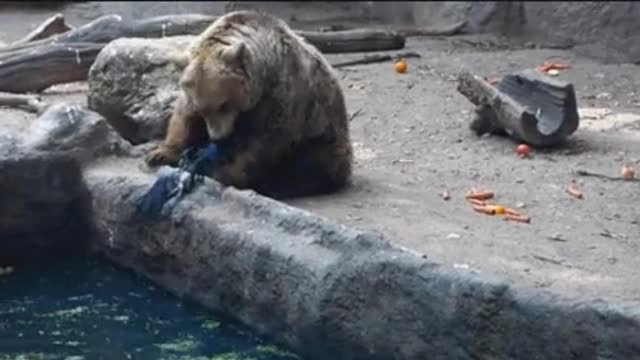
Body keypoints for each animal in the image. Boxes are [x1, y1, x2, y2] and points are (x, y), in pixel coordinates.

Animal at [144, 9, 356, 200]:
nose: (217, 137)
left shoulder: (279, 93)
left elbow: (265, 140)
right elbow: (183, 118)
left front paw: (226, 173)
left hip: (323, 132)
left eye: (224, 104)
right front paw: (159, 154)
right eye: (203, 110)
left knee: (311, 164)